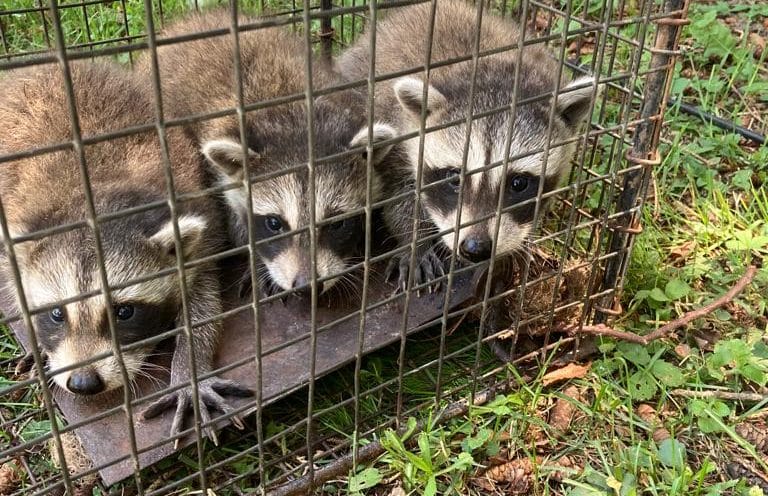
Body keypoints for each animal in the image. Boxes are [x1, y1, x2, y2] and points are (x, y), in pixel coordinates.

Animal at [0, 61, 251, 441]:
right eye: (57, 314)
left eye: (125, 312)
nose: (84, 382)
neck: (99, 202)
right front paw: (39, 342)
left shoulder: (198, 223)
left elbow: (202, 302)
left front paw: (189, 369)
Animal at [338, 0, 597, 290]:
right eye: (454, 177)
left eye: (519, 183)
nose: (475, 248)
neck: (487, 69)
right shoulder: (393, 132)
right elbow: (398, 196)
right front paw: (415, 242)